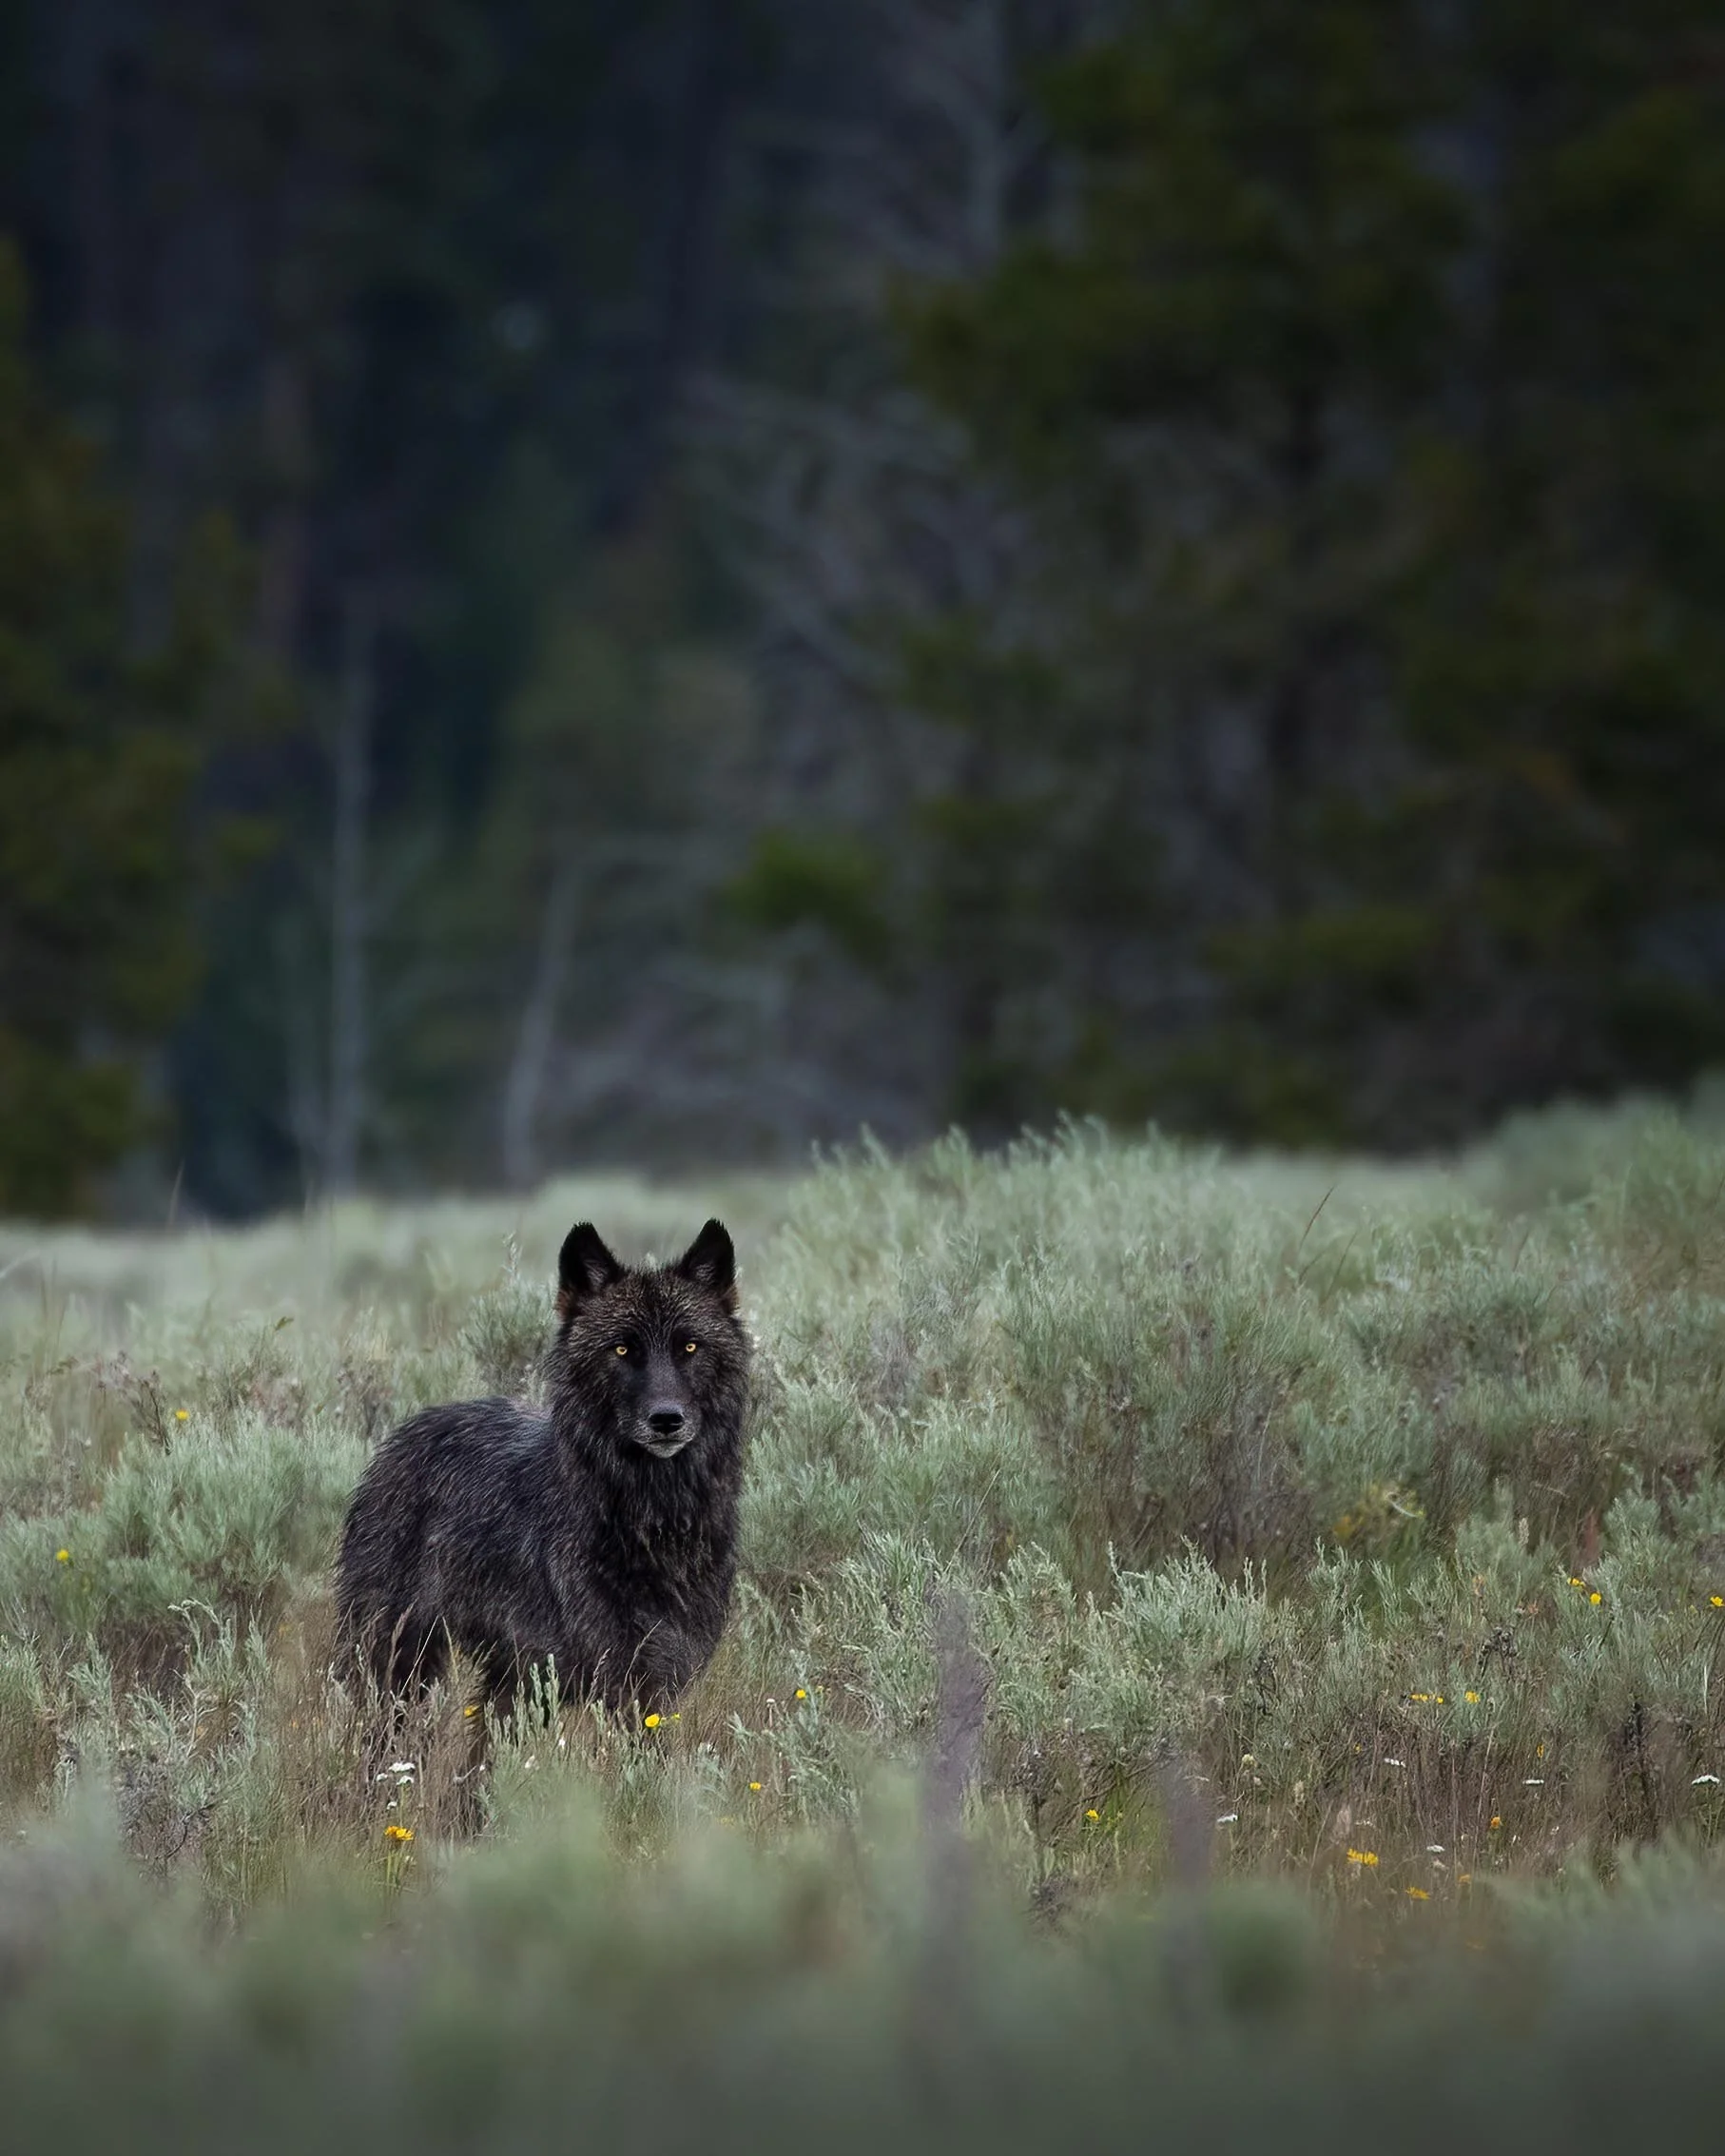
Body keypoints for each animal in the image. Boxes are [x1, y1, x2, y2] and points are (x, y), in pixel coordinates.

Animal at [334, 1218, 750, 1723]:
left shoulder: (656, 1684)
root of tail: (401, 1435)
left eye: (689, 1346)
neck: (654, 1519)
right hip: (401, 1668)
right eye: (621, 1349)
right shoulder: (606, 1677)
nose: (666, 1419)